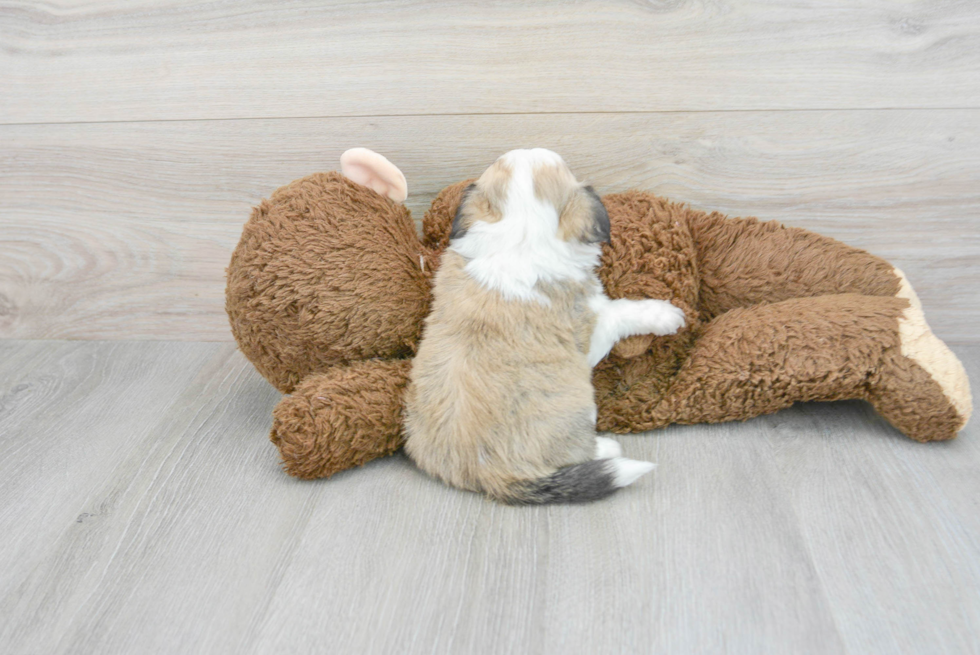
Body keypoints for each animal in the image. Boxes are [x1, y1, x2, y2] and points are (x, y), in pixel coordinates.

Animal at [402, 149, 684, 504]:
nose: (528, 149)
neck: (519, 236)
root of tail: (483, 475)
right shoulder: (593, 327)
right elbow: (622, 312)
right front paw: (666, 314)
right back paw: (606, 448)